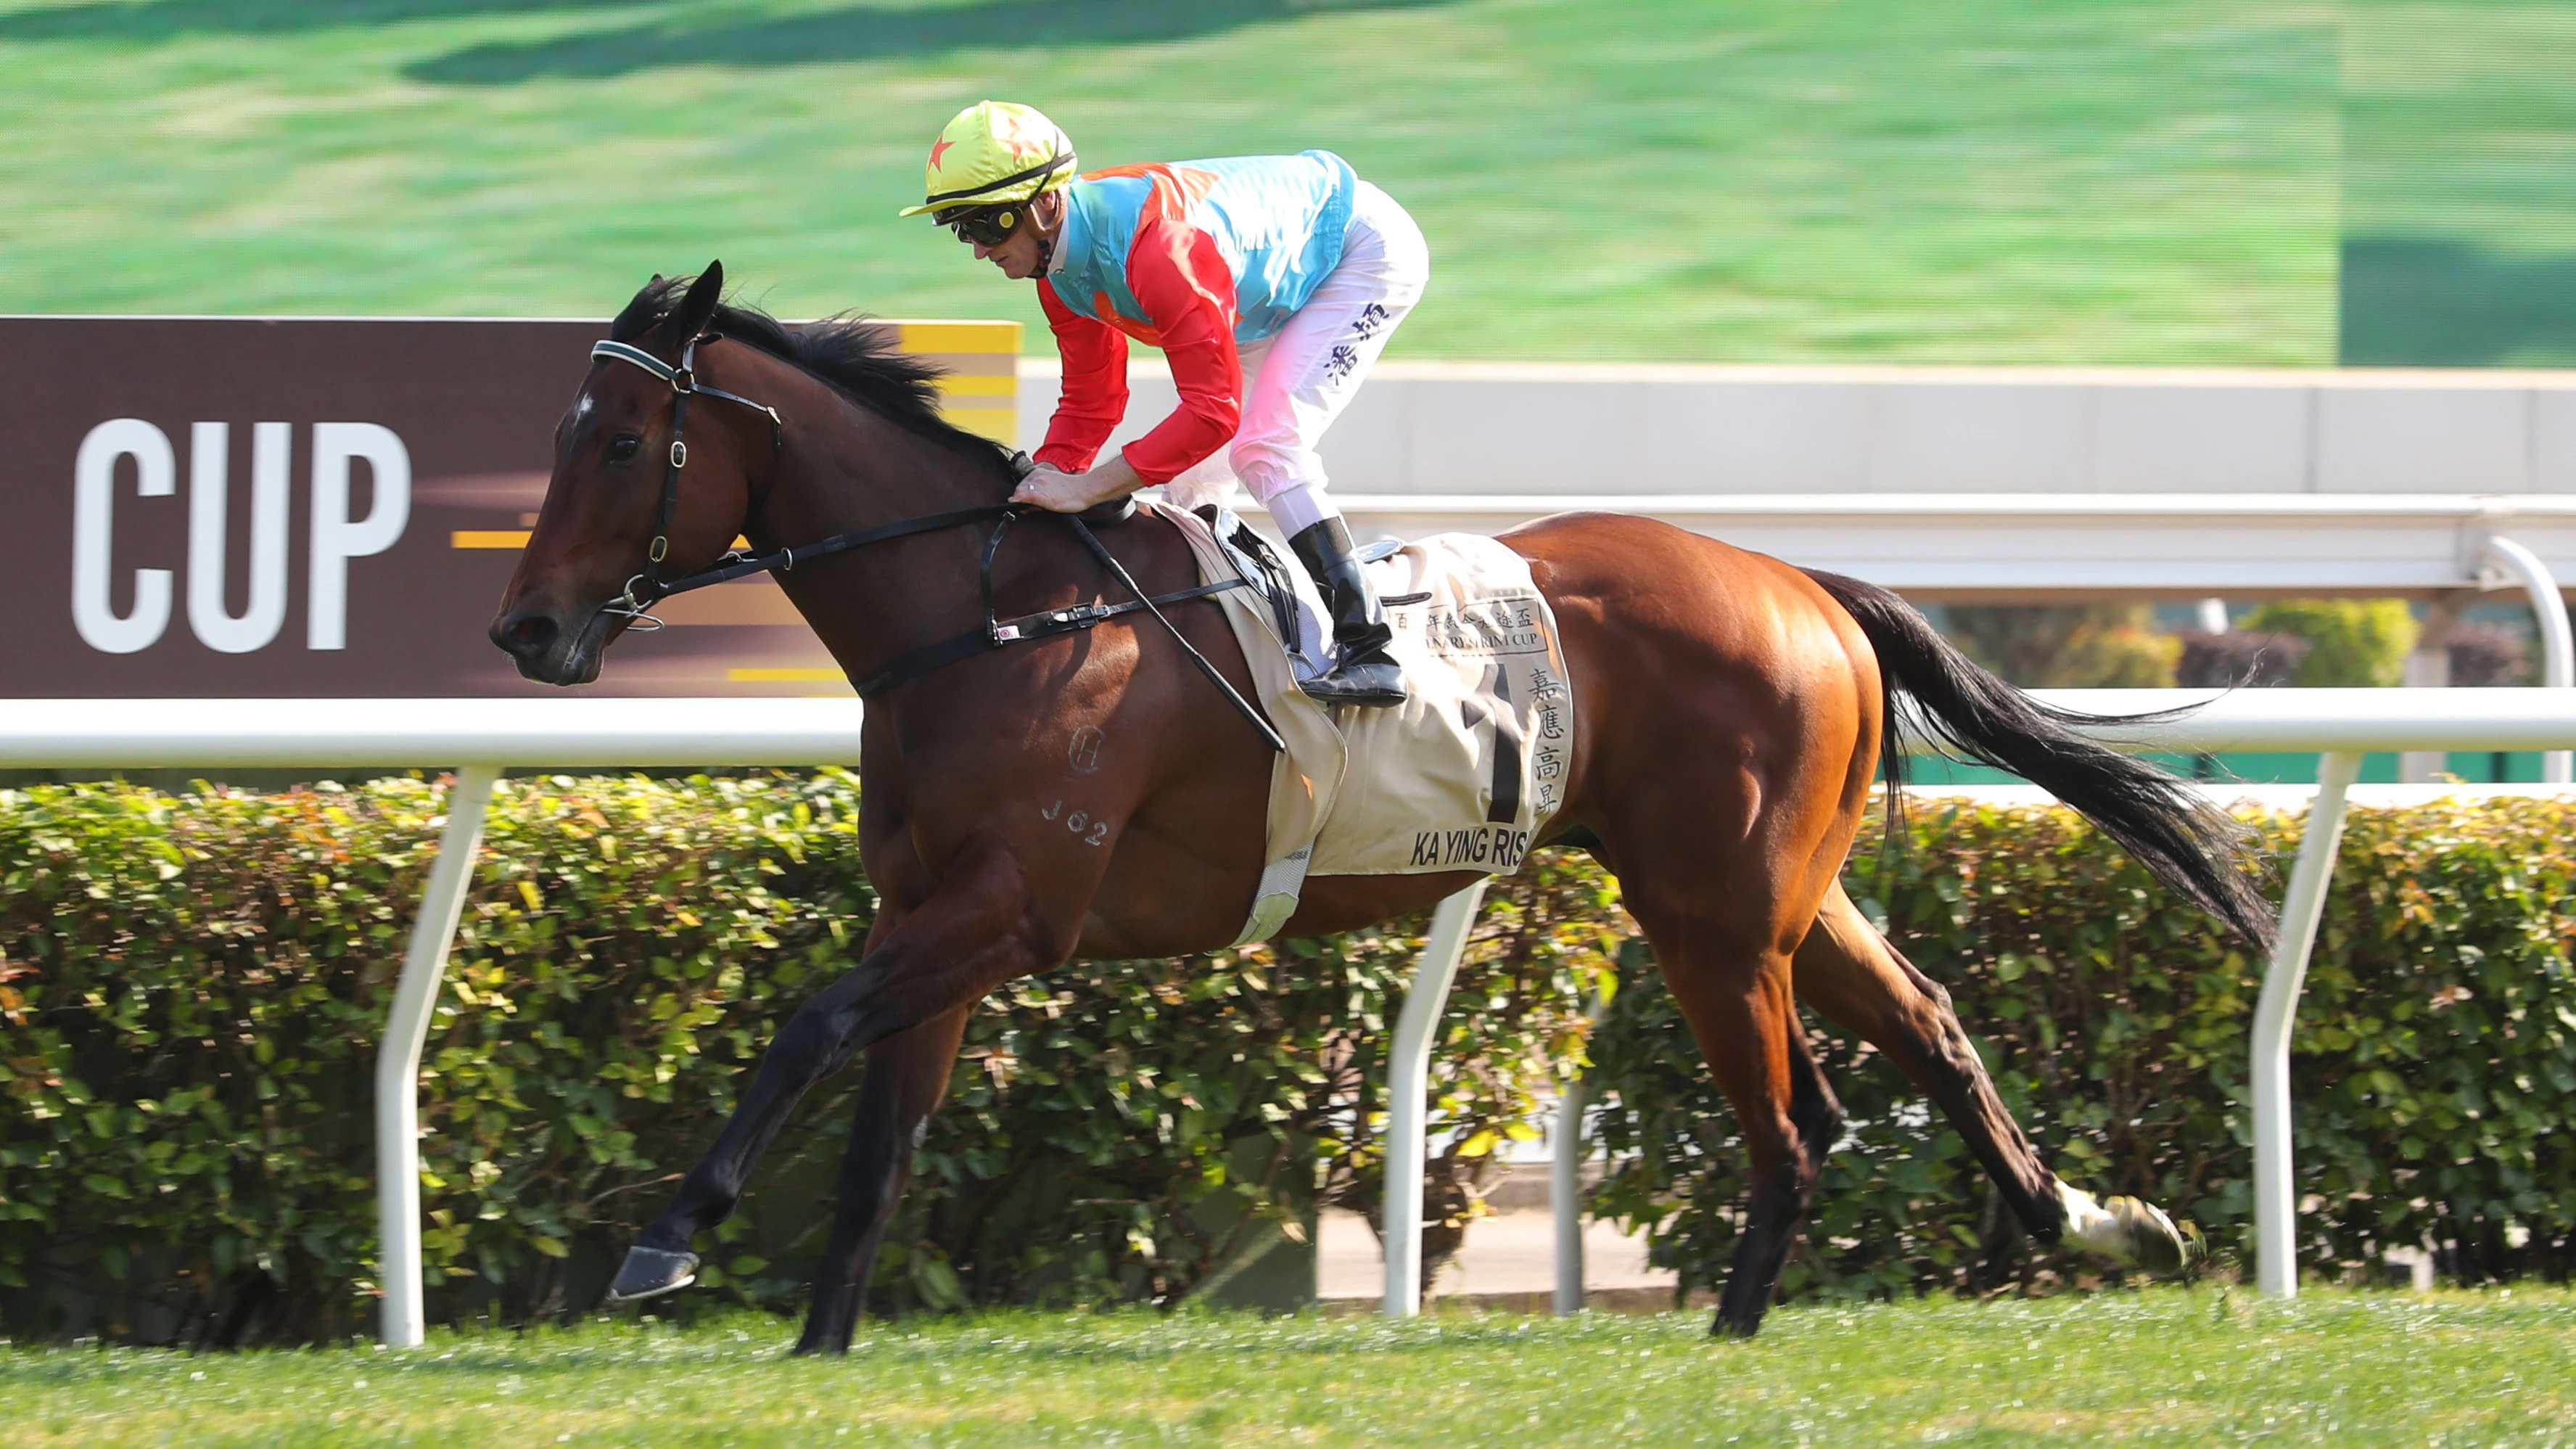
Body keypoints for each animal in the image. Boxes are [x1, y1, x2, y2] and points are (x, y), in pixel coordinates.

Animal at [490, 264, 2275, 1351]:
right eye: (560, 432)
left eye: (623, 439)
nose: (527, 629)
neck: (985, 614)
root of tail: (1802, 582)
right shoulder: (929, 908)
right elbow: (879, 1128)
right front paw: (818, 1334)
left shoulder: (1013, 909)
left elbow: (805, 1026)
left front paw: (668, 1237)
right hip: (1776, 892)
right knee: (1925, 1024)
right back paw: (2093, 1224)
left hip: (1713, 913)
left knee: (1795, 1121)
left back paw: (1735, 1330)